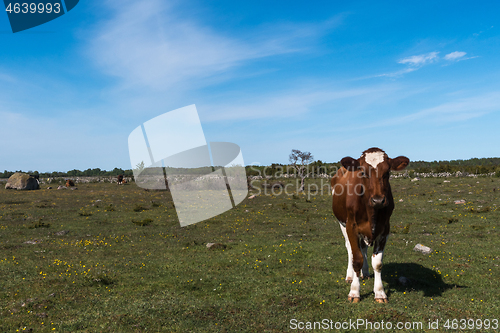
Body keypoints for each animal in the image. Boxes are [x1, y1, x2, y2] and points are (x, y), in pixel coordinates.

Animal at [330, 147, 408, 302]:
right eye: (362, 172)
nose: (378, 200)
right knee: (350, 249)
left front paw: (380, 292)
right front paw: (354, 291)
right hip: (342, 224)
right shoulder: (351, 227)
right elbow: (356, 259)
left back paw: (364, 273)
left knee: (363, 248)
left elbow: (377, 263)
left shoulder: (384, 229)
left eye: (387, 172)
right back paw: (350, 276)